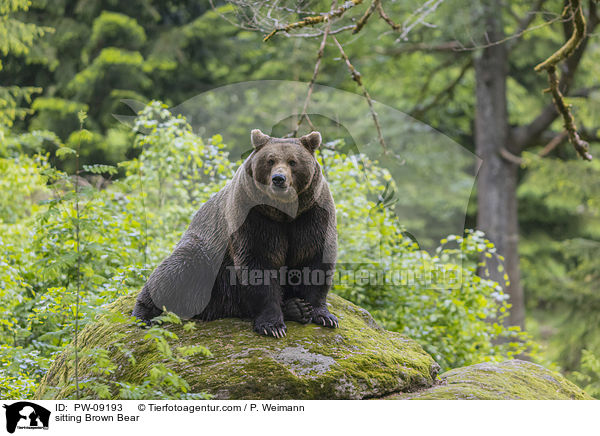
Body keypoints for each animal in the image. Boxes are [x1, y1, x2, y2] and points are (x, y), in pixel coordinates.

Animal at [132, 129, 338, 338]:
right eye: (270, 160)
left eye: (292, 161)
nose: (278, 179)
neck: (284, 212)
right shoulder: (253, 216)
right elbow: (258, 263)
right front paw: (273, 326)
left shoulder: (312, 215)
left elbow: (315, 260)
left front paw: (323, 315)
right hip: (207, 259)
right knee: (176, 270)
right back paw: (143, 314)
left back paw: (296, 308)